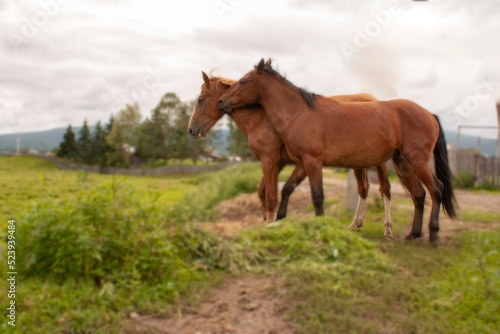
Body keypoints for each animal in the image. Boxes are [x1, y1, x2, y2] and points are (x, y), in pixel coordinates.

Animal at [189, 70, 396, 237]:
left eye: (201, 99)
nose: (191, 129)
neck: (262, 118)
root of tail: (376, 101)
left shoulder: (273, 161)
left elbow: (272, 195)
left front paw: (271, 222)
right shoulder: (282, 163)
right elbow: (266, 191)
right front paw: (270, 221)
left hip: (379, 163)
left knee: (384, 189)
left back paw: (386, 229)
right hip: (358, 163)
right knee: (364, 188)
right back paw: (356, 224)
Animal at [220, 59, 458, 243]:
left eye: (242, 81)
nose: (222, 101)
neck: (298, 112)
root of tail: (429, 114)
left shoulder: (313, 162)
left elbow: (317, 196)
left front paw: (320, 228)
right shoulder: (303, 163)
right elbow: (291, 189)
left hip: (416, 162)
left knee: (436, 189)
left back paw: (432, 234)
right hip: (403, 164)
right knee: (418, 195)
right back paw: (413, 234)